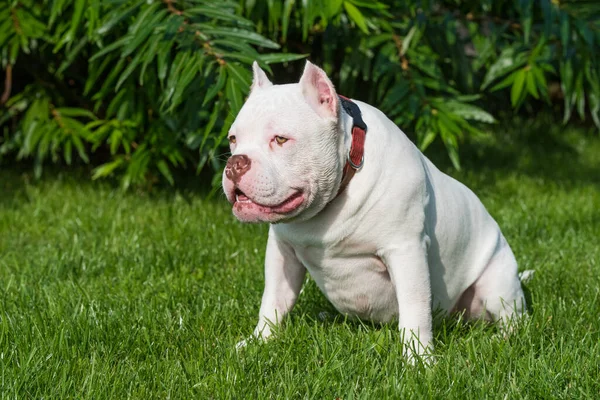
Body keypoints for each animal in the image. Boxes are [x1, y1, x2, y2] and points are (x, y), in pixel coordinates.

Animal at [221, 60, 524, 360]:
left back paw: (500, 340)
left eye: (281, 139)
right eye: (233, 139)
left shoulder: (406, 251)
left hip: (497, 282)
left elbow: (414, 310)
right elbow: (273, 300)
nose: (235, 163)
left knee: (512, 319)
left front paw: (419, 360)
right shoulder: (282, 252)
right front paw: (258, 341)